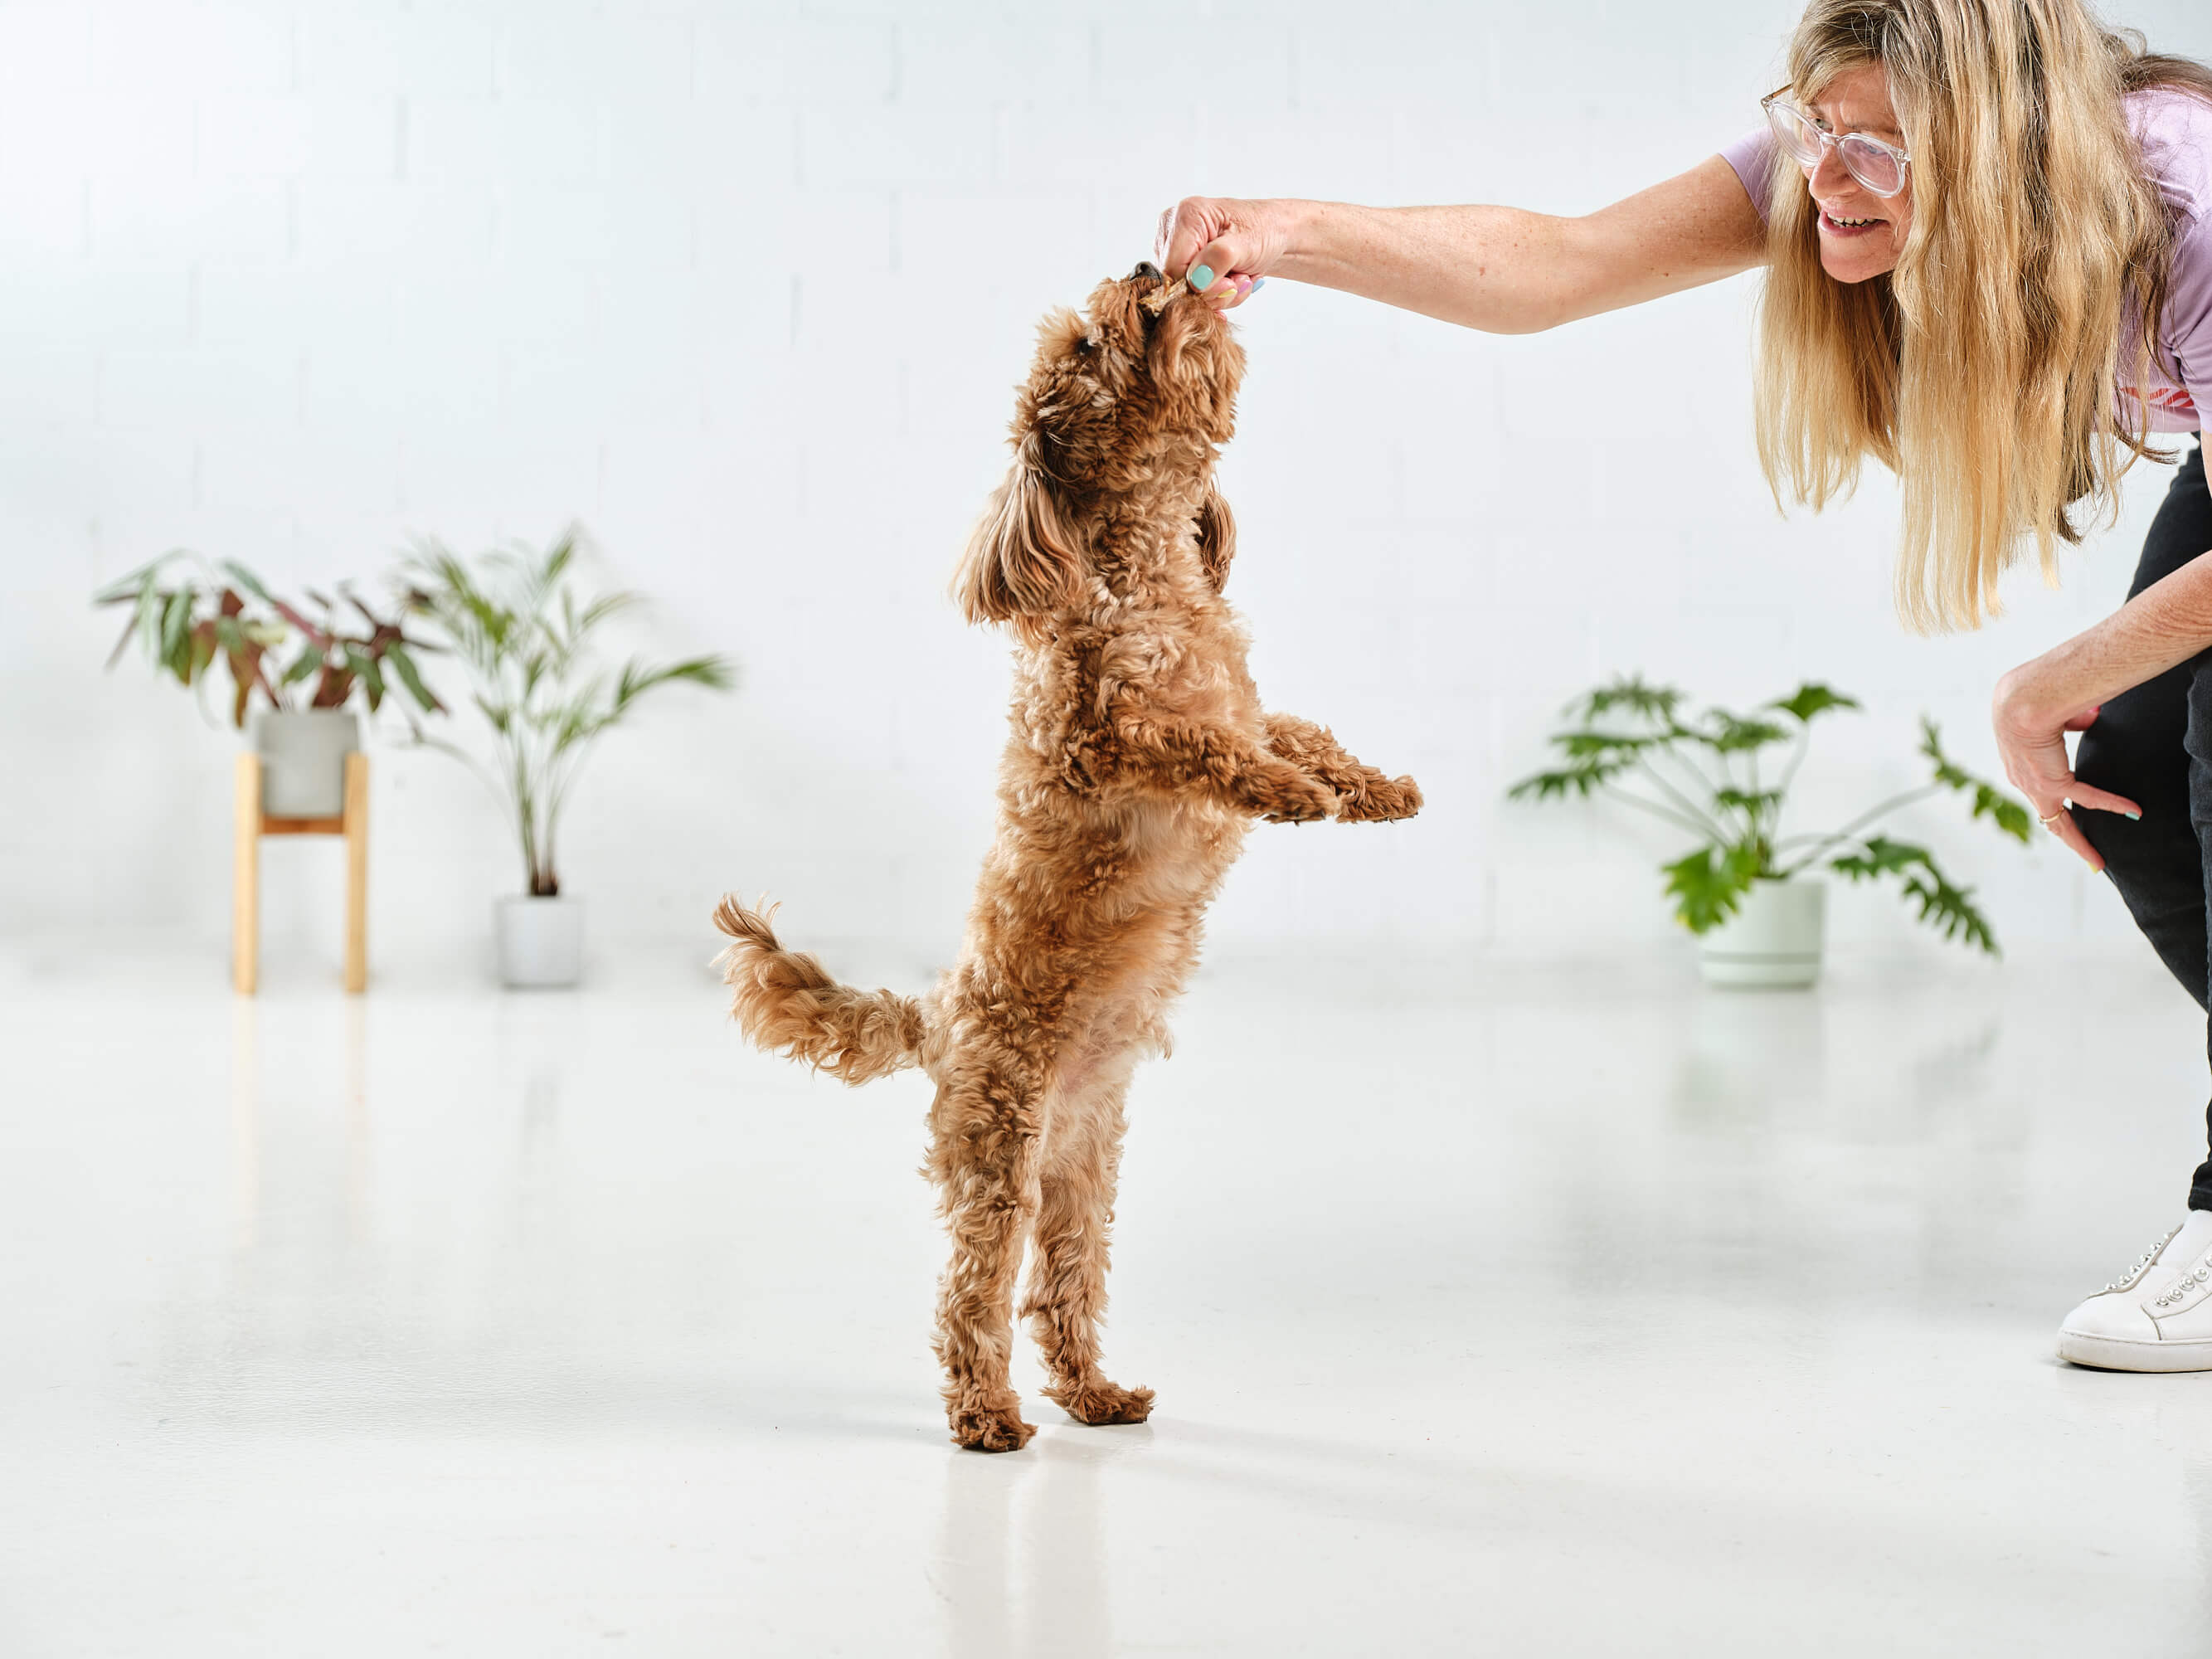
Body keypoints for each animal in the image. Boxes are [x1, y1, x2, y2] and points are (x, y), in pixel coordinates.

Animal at [717, 263, 1424, 1451]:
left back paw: (1097, 1392)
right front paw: (1288, 796)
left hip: (1082, 1171)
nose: (1148, 272)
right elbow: (1206, 746)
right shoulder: (1099, 739)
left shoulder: (1252, 701)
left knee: (1062, 1287)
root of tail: (938, 1016)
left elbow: (1298, 729)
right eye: (1087, 345)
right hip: (998, 1147)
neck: (1148, 573)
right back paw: (987, 1415)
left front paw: (1375, 790)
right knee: (970, 1294)